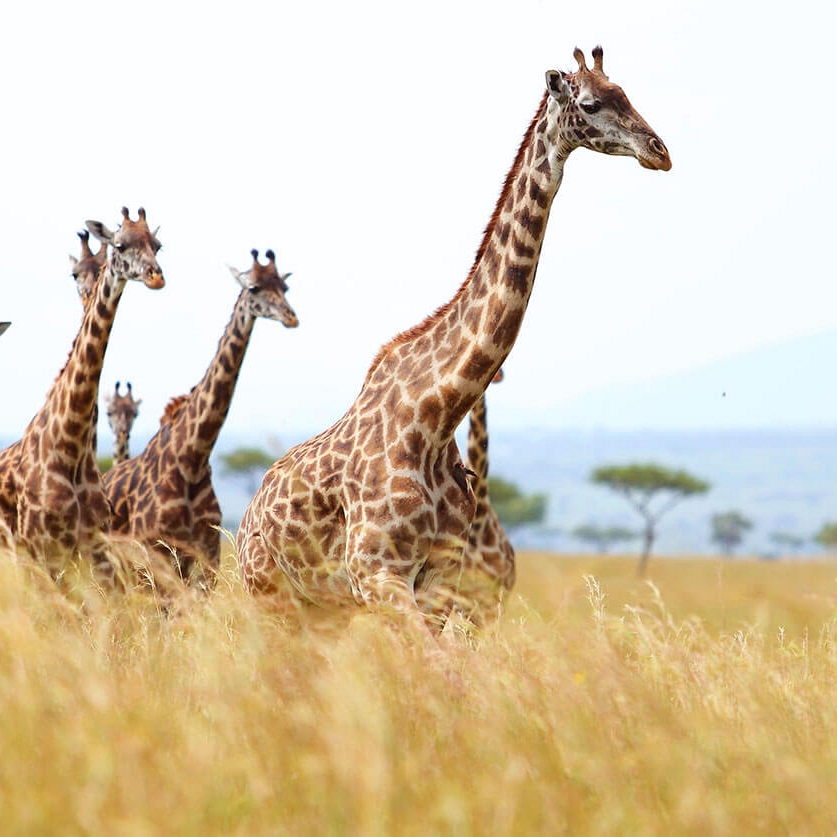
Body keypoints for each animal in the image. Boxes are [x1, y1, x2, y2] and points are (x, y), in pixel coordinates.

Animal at [0, 207, 164, 576]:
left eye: (157, 245)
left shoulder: (95, 547)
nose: (155, 277)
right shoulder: (43, 548)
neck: (71, 444)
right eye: (120, 244)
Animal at [101, 251, 298, 584]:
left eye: (284, 287)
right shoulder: (154, 552)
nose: (290, 316)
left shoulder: (207, 554)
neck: (192, 456)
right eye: (254, 288)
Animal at [238, 45, 668, 632]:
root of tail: (246, 515)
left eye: (627, 93)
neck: (437, 415)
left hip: (321, 609)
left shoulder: (439, 581)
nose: (659, 151)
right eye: (590, 103)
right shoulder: (377, 573)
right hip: (268, 596)